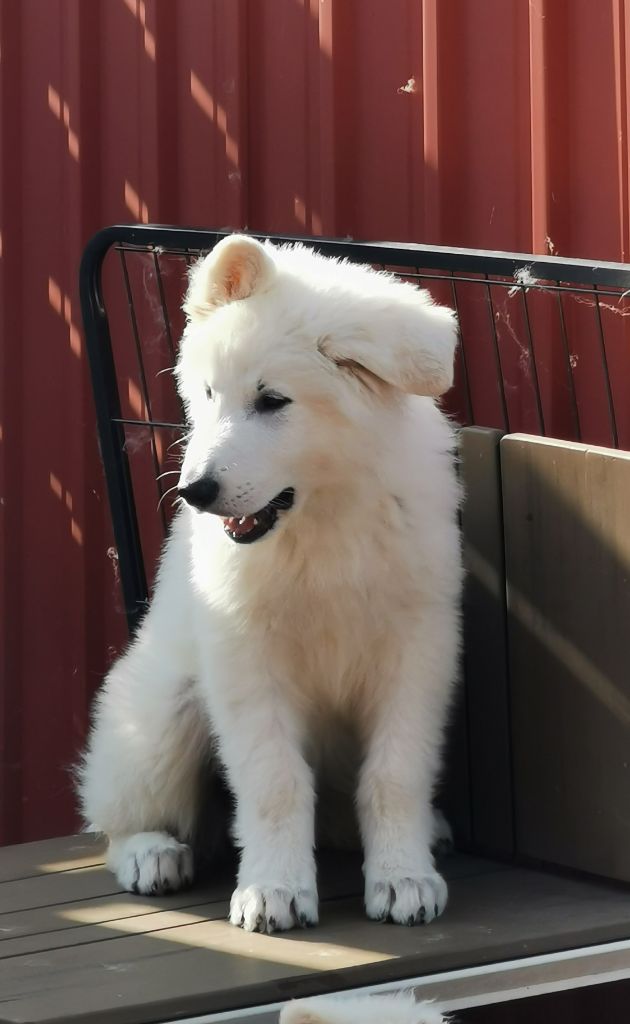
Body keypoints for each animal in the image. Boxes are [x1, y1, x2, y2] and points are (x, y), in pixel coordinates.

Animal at [79, 234, 463, 937]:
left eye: (272, 401)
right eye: (207, 394)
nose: (194, 491)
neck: (323, 516)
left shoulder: (417, 652)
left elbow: (394, 774)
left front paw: (402, 877)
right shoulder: (246, 661)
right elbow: (274, 782)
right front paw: (273, 889)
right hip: (163, 712)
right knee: (117, 815)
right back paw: (152, 852)